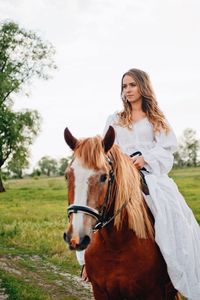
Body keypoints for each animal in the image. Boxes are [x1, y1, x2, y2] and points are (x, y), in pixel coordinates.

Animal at [63, 125, 180, 298]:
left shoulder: (153, 293)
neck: (116, 244)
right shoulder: (100, 291)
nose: (76, 237)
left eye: (104, 177)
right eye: (67, 176)